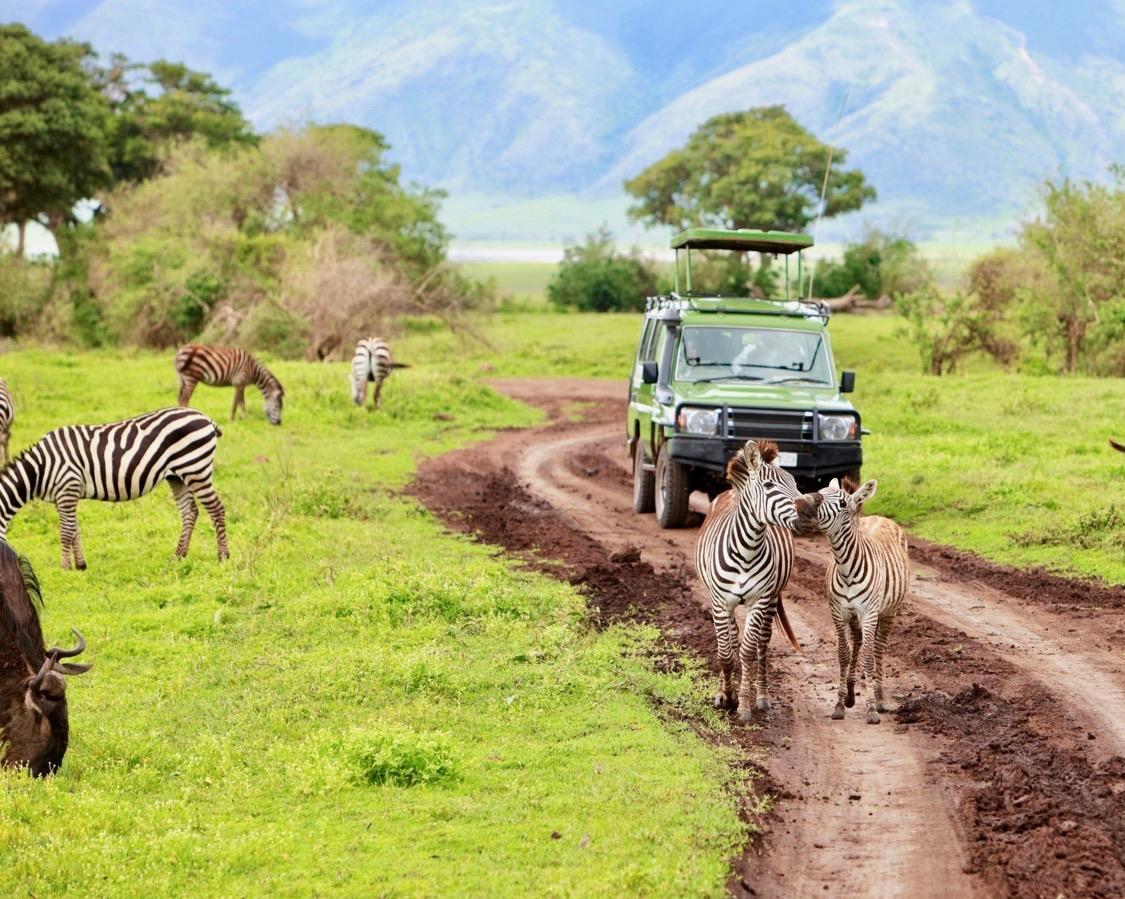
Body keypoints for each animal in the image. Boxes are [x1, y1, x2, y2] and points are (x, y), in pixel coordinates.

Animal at [0, 409, 229, 569]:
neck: (40, 467)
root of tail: (205, 418)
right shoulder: (64, 496)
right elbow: (74, 530)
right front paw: (80, 565)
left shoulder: (67, 488)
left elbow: (66, 532)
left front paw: (64, 568)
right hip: (177, 476)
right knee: (190, 511)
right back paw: (178, 556)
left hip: (195, 468)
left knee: (216, 508)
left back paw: (223, 556)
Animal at [697, 438, 805, 720]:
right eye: (769, 486)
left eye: (794, 483)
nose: (809, 509)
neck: (746, 550)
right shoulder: (719, 602)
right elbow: (725, 653)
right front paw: (726, 696)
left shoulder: (759, 600)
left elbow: (747, 651)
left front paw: (744, 705)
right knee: (732, 638)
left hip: (772, 599)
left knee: (762, 644)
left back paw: (762, 696)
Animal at [796, 477, 909, 724]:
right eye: (819, 490)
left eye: (841, 503)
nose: (800, 503)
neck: (846, 568)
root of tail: (880, 517)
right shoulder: (838, 613)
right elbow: (843, 655)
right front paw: (839, 703)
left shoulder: (869, 614)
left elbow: (868, 658)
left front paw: (871, 709)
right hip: (856, 617)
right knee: (857, 642)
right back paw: (850, 693)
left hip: (888, 612)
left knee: (877, 649)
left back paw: (880, 698)